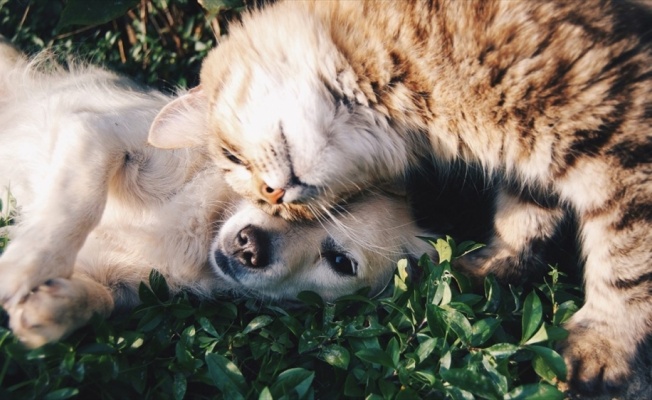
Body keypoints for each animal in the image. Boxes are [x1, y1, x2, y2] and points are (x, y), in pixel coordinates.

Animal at [1, 40, 438, 346]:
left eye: (341, 263)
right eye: (274, 189)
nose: (250, 246)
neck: (202, 226)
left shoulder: (126, 282)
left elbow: (103, 300)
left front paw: (53, 308)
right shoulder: (97, 132)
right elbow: (77, 204)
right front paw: (24, 265)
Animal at [148, 0, 652, 394]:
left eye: (232, 157)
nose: (274, 195)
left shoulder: (619, 137)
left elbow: (626, 263)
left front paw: (603, 344)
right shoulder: (533, 160)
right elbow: (523, 218)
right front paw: (491, 268)